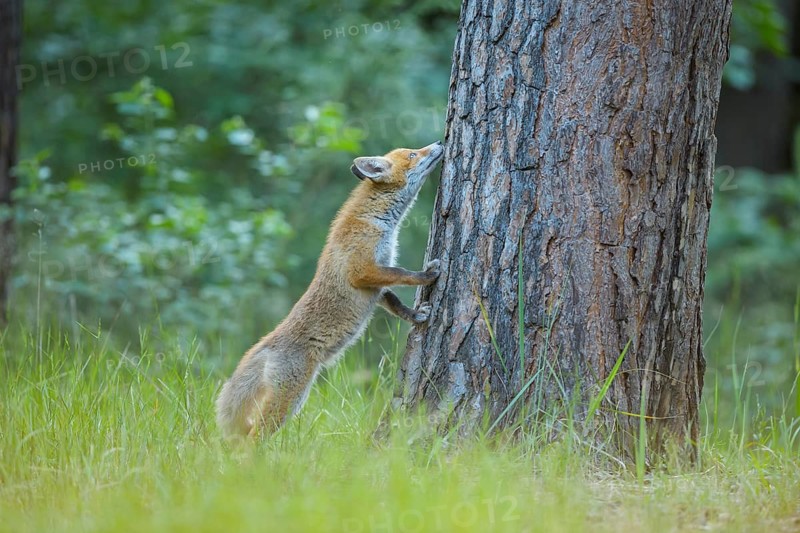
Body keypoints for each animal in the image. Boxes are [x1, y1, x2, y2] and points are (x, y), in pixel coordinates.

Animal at [216, 141, 445, 439]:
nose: (439, 143)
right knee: (257, 434)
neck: (375, 220)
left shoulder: (376, 284)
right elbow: (403, 275)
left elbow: (395, 302)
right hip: (292, 395)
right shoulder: (362, 271)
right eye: (413, 154)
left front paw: (415, 315)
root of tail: (268, 343)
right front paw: (427, 276)